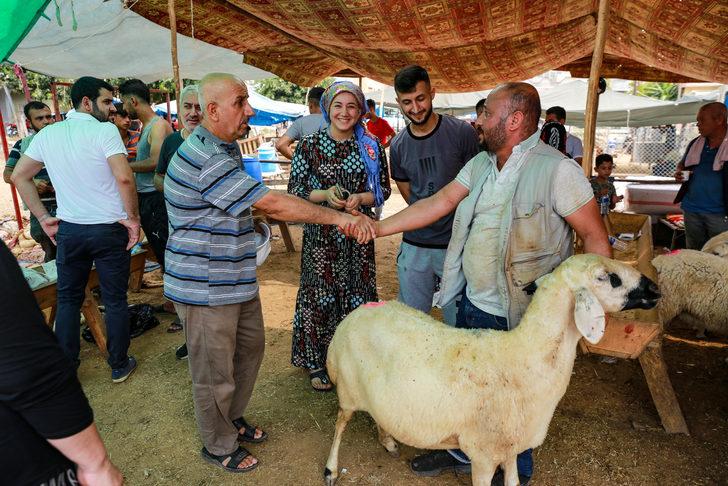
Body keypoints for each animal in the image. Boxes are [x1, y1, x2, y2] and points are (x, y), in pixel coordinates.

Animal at [324, 254, 660, 486]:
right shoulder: (483, 454)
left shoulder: (511, 448)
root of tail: (359, 310)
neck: (526, 355)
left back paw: (389, 441)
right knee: (340, 423)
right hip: (347, 388)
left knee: (378, 414)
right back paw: (330, 469)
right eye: (610, 278)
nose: (656, 288)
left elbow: (512, 481)